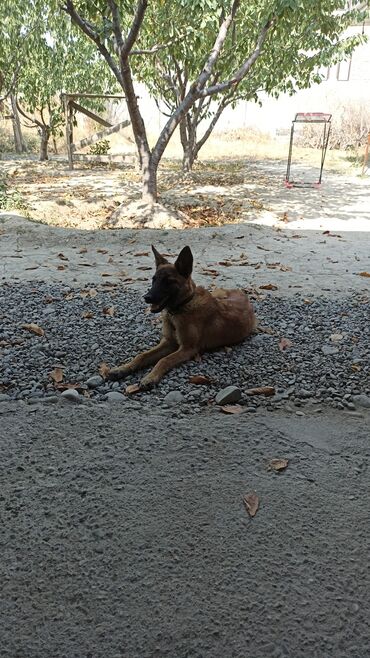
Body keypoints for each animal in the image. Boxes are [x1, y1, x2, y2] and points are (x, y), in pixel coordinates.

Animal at [108, 246, 256, 390]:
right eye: (154, 279)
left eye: (168, 281)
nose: (146, 298)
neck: (180, 308)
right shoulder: (168, 342)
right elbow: (142, 355)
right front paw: (122, 369)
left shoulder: (187, 348)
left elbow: (164, 360)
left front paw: (150, 377)